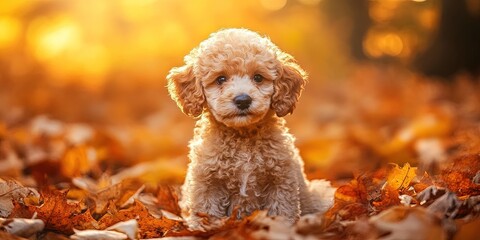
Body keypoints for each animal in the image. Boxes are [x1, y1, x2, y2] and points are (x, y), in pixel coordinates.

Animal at [167, 28, 332, 229]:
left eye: (258, 77)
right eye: (221, 79)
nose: (243, 100)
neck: (243, 135)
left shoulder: (280, 180)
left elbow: (281, 211)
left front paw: (281, 229)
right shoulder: (207, 182)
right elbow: (206, 211)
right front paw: (206, 229)